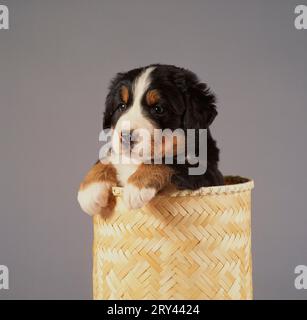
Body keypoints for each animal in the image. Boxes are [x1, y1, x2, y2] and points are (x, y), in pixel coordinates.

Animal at [78, 63, 225, 216]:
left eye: (158, 109)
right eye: (122, 106)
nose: (126, 136)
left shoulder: (207, 172)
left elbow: (167, 161)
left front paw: (137, 187)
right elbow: (106, 158)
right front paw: (90, 190)